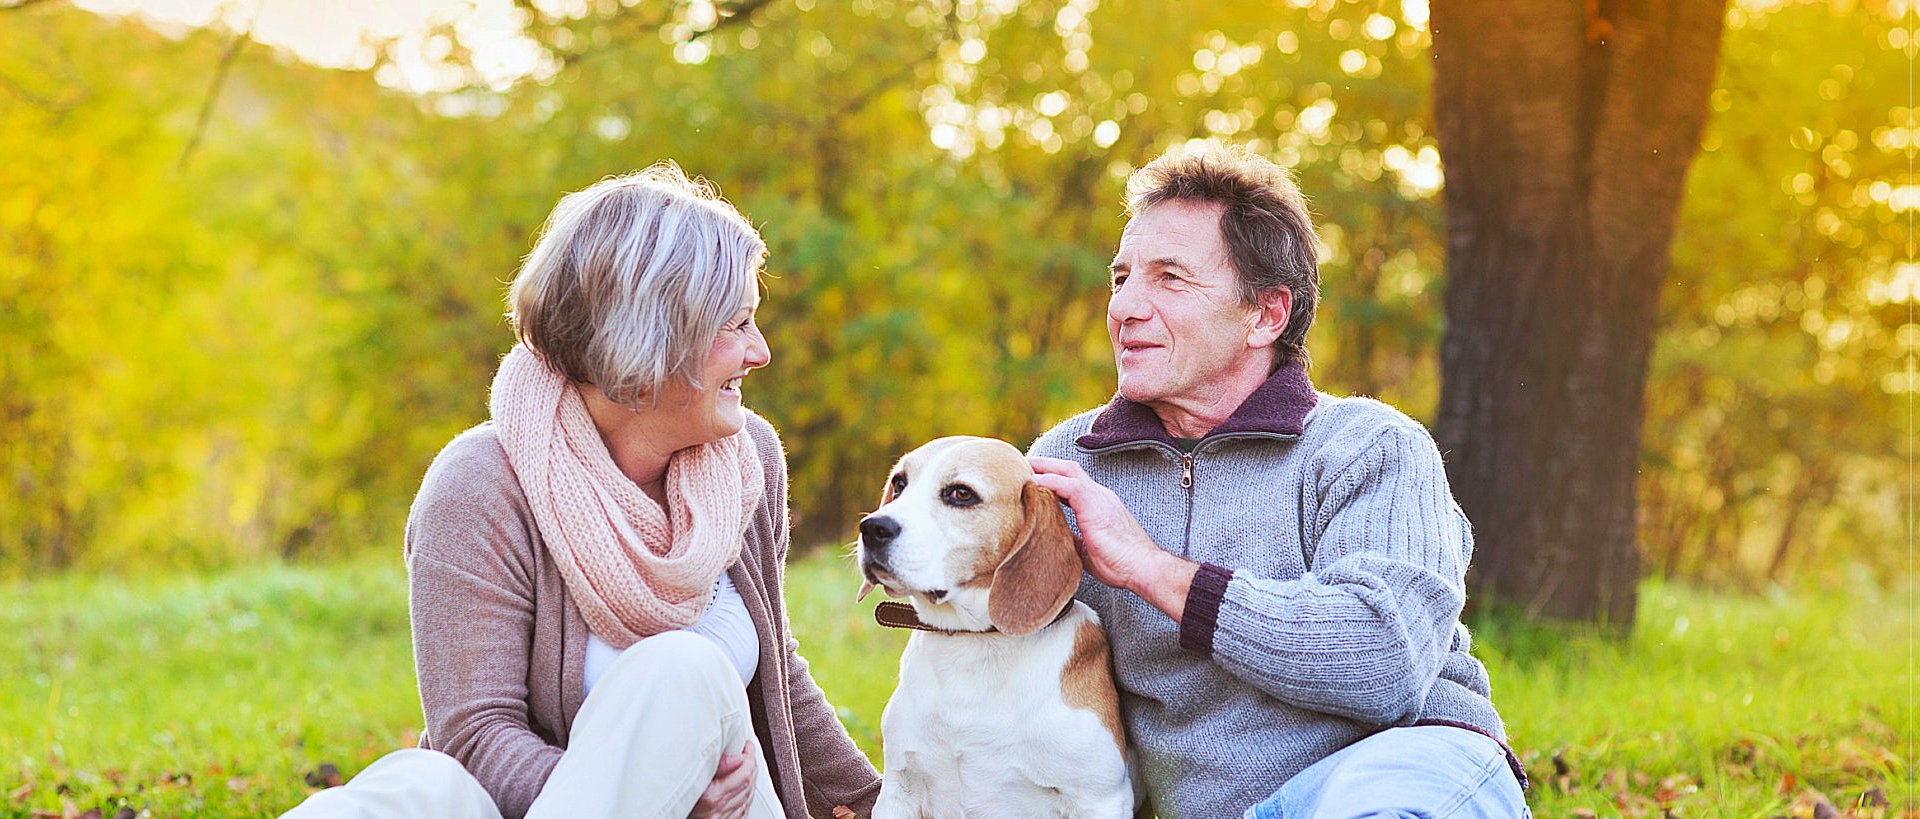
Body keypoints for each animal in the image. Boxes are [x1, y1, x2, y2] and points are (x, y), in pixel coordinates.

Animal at [852, 439, 1121, 817]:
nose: (872, 528)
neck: (974, 642)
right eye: (900, 484)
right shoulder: (898, 791)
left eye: (961, 493)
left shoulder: (1099, 798)